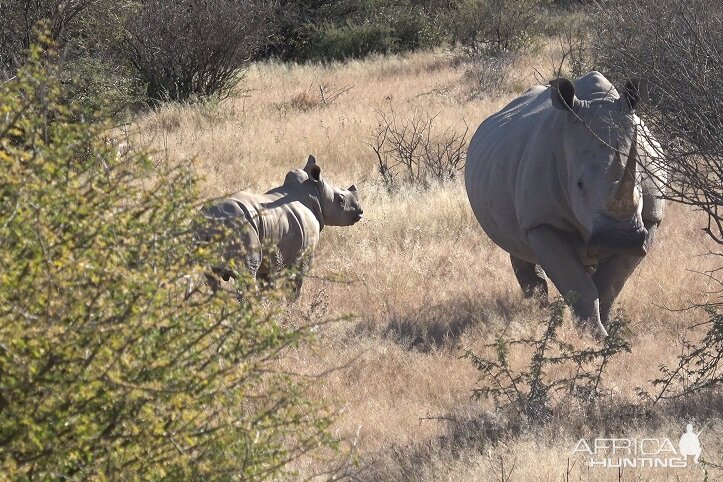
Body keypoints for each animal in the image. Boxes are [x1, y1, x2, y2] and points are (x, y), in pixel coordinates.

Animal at [199, 156, 362, 296]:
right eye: (341, 201)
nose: (360, 211)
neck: (316, 193)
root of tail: (212, 218)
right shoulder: (302, 256)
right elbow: (295, 287)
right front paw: (292, 308)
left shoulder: (270, 260)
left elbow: (266, 284)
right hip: (238, 226)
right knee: (247, 272)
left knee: (211, 277)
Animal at [466, 71, 664, 338]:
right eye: (579, 185)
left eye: (640, 184)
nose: (620, 238)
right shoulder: (543, 222)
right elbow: (580, 286)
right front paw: (594, 336)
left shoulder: (650, 220)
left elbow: (609, 284)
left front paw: (605, 331)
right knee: (515, 241)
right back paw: (537, 307)